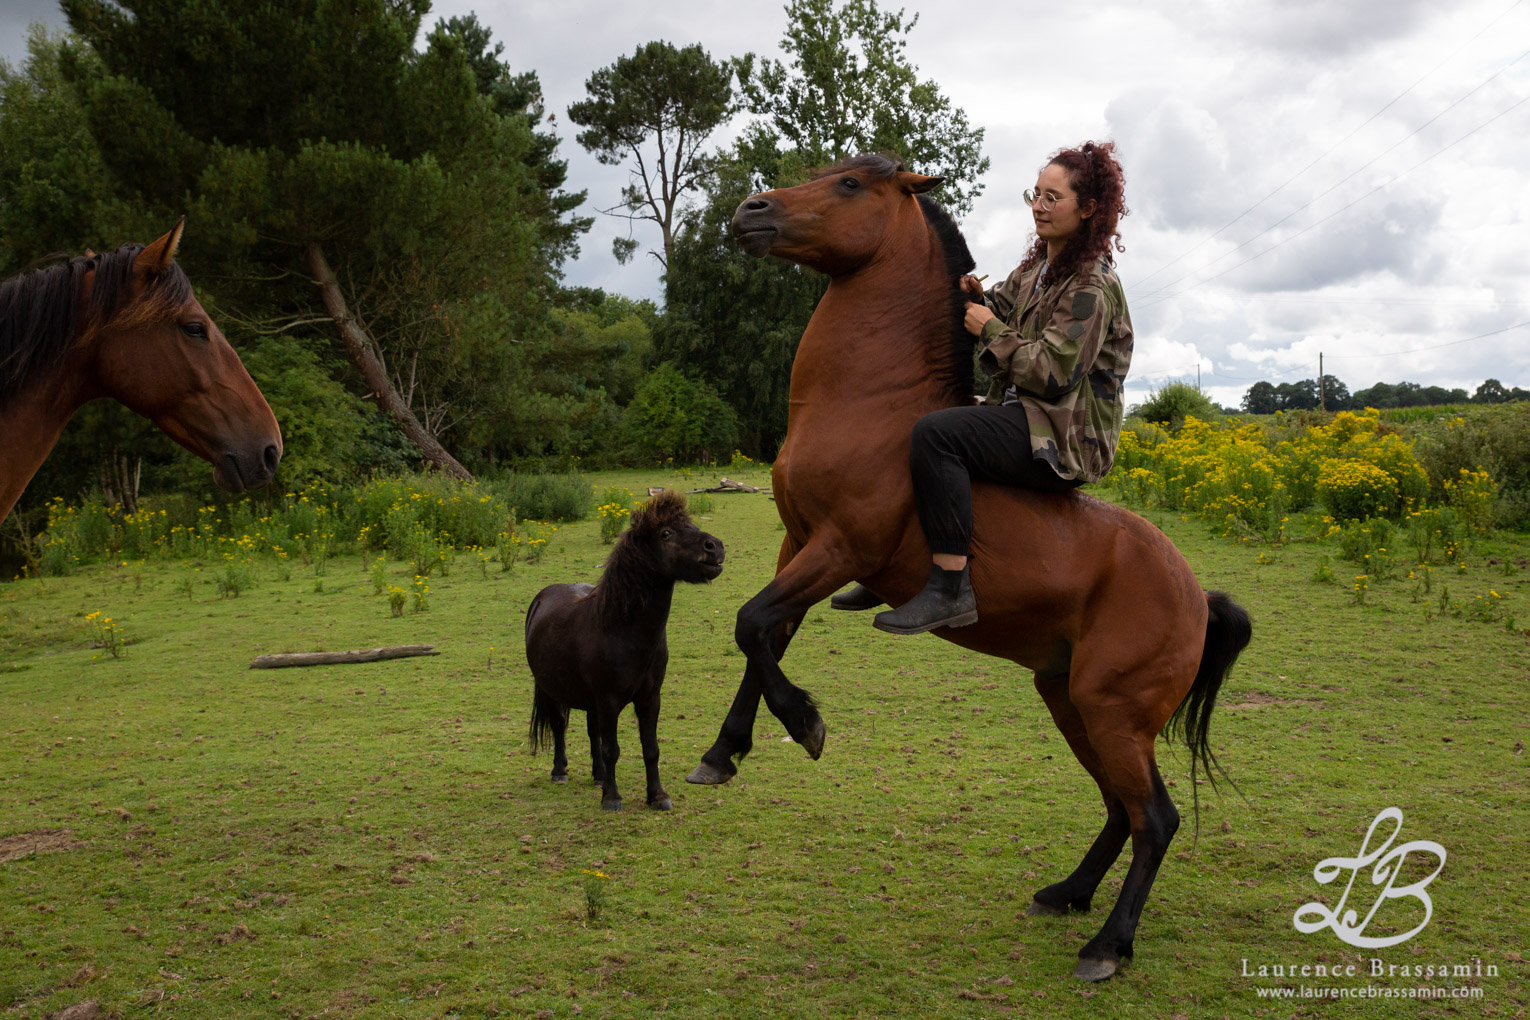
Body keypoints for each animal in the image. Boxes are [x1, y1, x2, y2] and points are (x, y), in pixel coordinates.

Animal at [526, 495, 722, 813]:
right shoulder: (608, 701)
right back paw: (560, 772)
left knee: (592, 732)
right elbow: (612, 749)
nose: (715, 547)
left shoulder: (649, 699)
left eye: (691, 524)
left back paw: (598, 776)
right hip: (552, 692)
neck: (623, 631)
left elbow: (650, 748)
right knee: (559, 726)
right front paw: (612, 798)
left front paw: (657, 796)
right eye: (666, 533)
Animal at [688, 157, 1248, 978]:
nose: (749, 211)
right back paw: (1069, 893)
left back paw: (1107, 946)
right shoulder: (798, 546)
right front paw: (724, 752)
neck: (866, 406)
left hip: (1112, 712)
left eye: (851, 184)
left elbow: (749, 621)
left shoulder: (838, 547)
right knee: (1120, 807)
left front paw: (807, 724)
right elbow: (763, 639)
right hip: (1069, 699)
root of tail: (1196, 596)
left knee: (1156, 818)